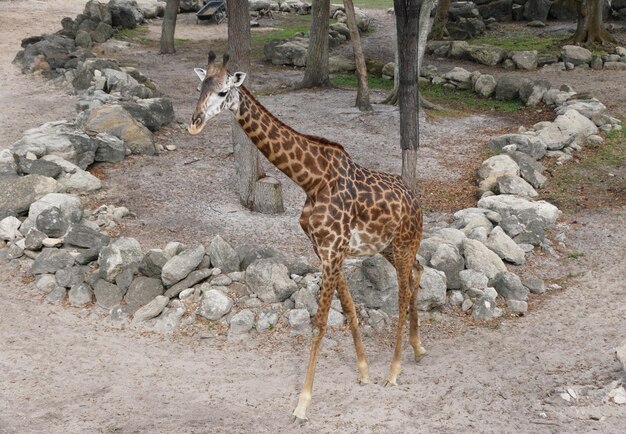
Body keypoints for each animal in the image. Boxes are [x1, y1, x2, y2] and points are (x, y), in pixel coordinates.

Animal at [188, 50, 426, 420]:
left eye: (223, 92)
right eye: (200, 88)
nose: (194, 122)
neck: (311, 180)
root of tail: (416, 201)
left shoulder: (333, 249)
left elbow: (320, 322)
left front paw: (302, 403)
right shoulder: (325, 250)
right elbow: (350, 310)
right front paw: (363, 371)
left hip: (402, 244)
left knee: (402, 296)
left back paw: (394, 371)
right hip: (391, 246)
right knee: (417, 273)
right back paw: (417, 349)